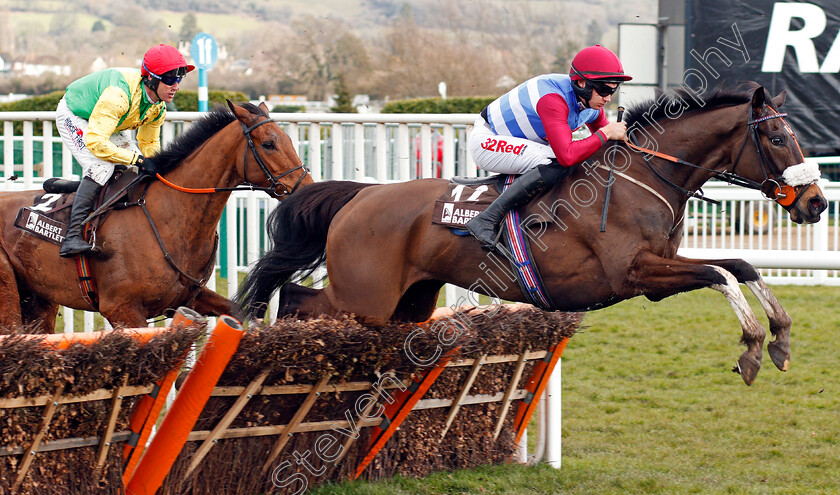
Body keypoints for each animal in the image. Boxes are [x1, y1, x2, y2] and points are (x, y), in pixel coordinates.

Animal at [0, 101, 312, 334]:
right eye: (269, 144)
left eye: (289, 139)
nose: (305, 187)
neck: (168, 215)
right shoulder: (122, 309)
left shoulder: (187, 298)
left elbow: (234, 313)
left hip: (39, 299)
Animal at [236, 84, 828, 388]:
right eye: (779, 137)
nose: (816, 203)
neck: (644, 174)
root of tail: (360, 197)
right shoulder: (634, 274)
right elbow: (720, 274)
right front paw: (752, 347)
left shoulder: (660, 270)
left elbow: (739, 267)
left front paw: (780, 336)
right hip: (364, 296)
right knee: (297, 299)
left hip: (409, 302)